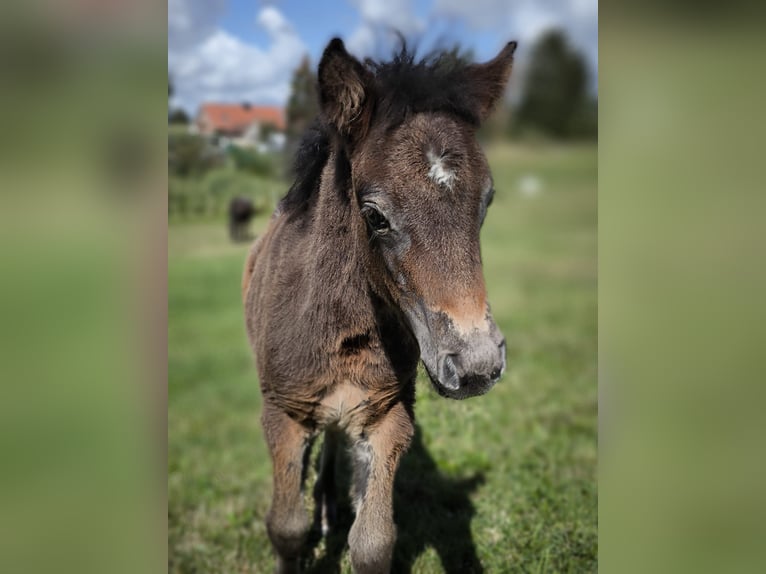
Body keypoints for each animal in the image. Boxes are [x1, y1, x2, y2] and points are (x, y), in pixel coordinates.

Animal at [243, 38, 520, 572]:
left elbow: (373, 542)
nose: (477, 364)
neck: (338, 328)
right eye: (374, 216)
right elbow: (286, 528)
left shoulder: (389, 416)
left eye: (487, 202)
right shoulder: (282, 413)